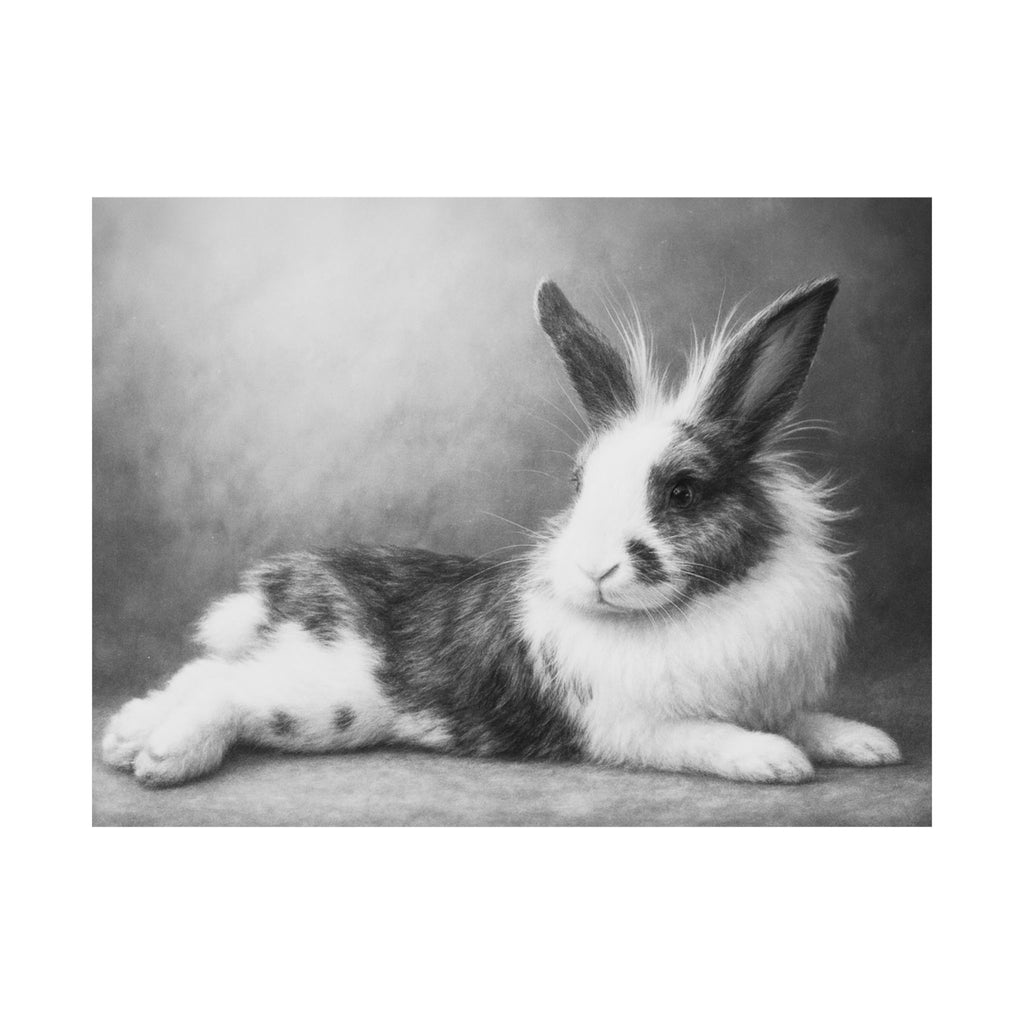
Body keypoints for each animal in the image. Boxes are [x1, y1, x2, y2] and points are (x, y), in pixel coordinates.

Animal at [101, 276, 902, 787]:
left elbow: (806, 718)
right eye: (579, 484)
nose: (595, 570)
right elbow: (709, 737)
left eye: (683, 491)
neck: (697, 611)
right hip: (325, 703)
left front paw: (869, 744)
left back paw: (124, 736)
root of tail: (290, 584)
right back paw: (161, 757)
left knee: (207, 673)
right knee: (226, 691)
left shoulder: (773, 697)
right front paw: (774, 762)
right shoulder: (635, 727)